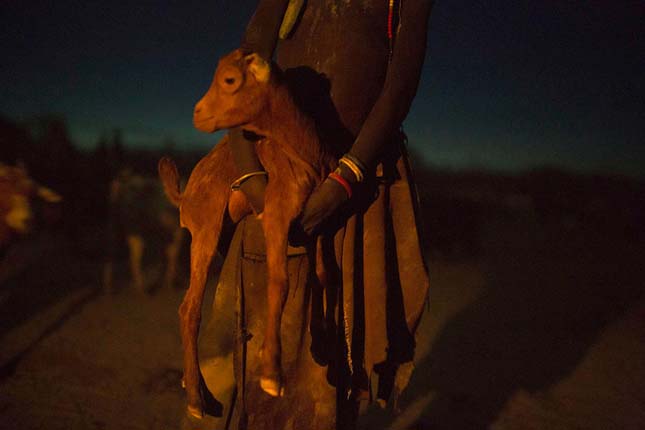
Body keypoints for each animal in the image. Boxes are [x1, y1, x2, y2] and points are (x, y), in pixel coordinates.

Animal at [158, 48, 334, 418]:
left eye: (229, 79)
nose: (197, 112)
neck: (302, 150)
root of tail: (186, 193)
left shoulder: (319, 220)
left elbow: (324, 274)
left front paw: (323, 344)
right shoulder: (276, 212)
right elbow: (279, 281)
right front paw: (271, 375)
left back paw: (196, 387)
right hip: (205, 228)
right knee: (189, 308)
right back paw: (195, 399)